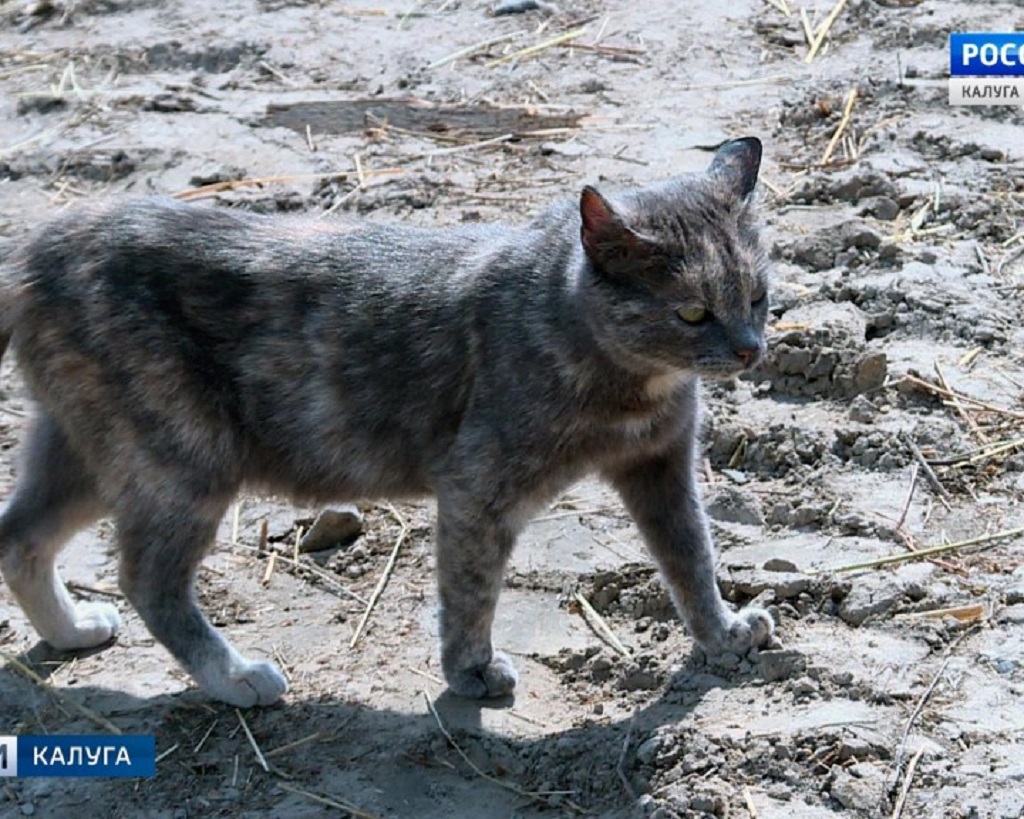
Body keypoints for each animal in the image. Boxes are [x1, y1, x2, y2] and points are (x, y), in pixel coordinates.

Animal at [0, 137, 770, 708]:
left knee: (20, 537)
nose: (750, 348)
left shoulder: (662, 466)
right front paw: (472, 671)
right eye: (693, 311)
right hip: (181, 456)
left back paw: (72, 631)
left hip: (89, 448)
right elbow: (470, 588)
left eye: (759, 296)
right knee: (146, 578)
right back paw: (235, 677)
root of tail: (37, 248)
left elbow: (691, 557)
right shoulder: (476, 487)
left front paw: (724, 634)